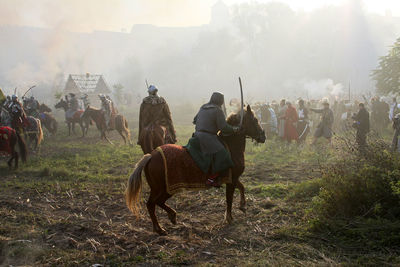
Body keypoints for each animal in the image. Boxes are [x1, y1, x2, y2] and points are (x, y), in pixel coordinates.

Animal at [126, 105, 266, 236]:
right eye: (255, 120)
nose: (263, 136)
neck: (231, 146)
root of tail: (151, 155)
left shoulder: (232, 178)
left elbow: (242, 187)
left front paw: (242, 206)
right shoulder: (231, 180)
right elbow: (229, 199)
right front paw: (230, 218)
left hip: (160, 188)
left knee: (155, 203)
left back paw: (169, 219)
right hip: (163, 189)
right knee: (153, 203)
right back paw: (161, 227)